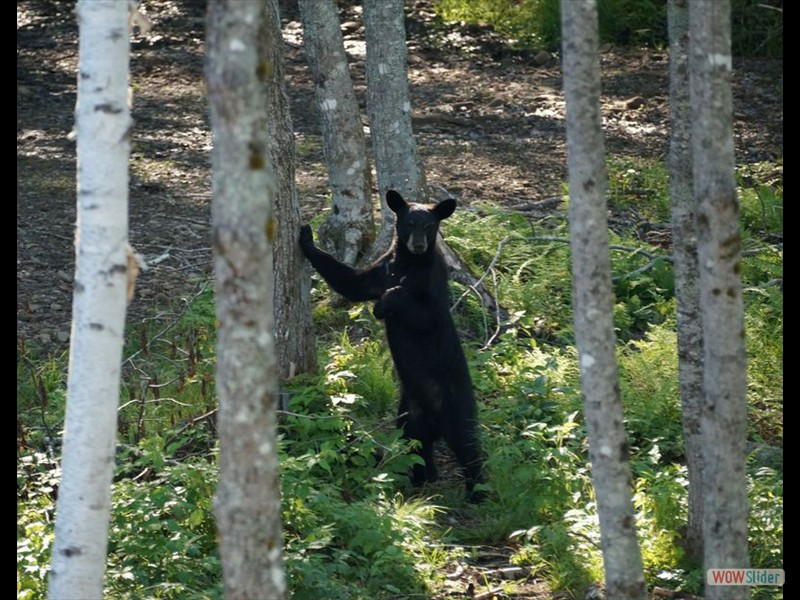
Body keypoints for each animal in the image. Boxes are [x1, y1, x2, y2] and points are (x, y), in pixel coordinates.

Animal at [298, 189, 485, 501]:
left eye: (429, 226)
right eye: (409, 223)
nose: (419, 245)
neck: (407, 263)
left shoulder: (432, 286)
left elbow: (424, 313)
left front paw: (384, 304)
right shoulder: (382, 270)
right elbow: (352, 283)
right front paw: (306, 238)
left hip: (456, 406)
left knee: (468, 445)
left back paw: (477, 492)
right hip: (407, 416)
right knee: (416, 449)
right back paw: (421, 479)